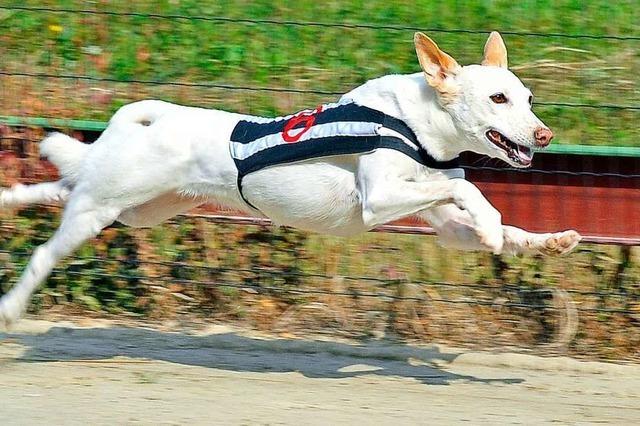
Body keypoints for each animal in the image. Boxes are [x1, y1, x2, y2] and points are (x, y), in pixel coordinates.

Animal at [0, 32, 580, 326]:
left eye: (528, 98)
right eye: (498, 99)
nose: (545, 134)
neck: (415, 124)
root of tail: (136, 121)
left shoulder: (439, 223)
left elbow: (491, 224)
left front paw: (546, 240)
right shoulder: (379, 199)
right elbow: (466, 184)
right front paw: (491, 222)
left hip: (137, 208)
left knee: (59, 187)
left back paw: (10, 198)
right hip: (101, 210)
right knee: (43, 253)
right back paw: (11, 309)